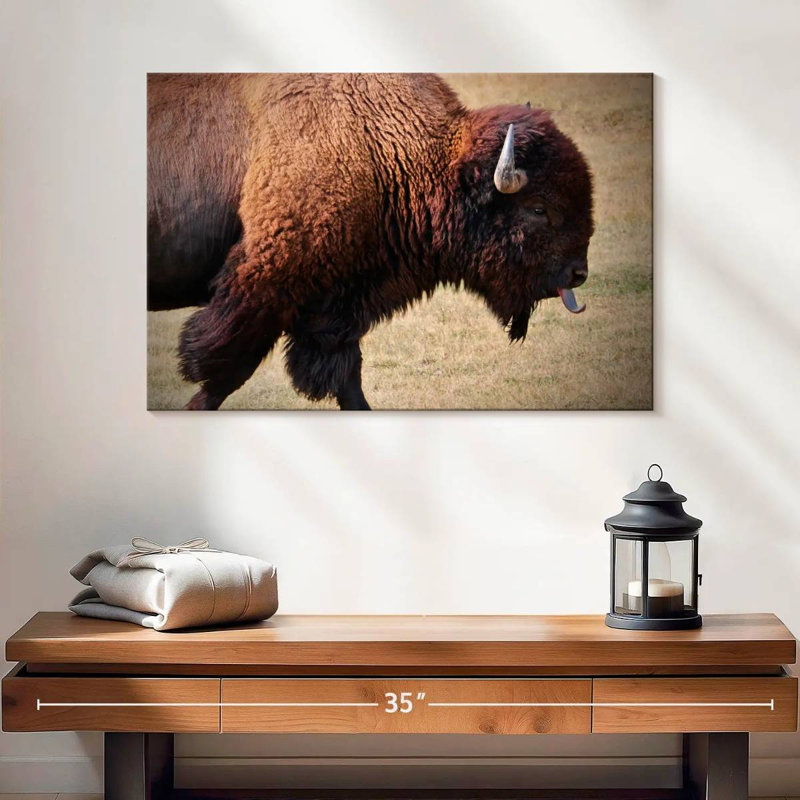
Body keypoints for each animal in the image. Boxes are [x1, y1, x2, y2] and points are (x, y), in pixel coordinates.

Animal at [147, 73, 594, 409]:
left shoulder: (332, 309)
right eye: (538, 208)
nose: (579, 273)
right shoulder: (265, 288)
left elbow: (346, 379)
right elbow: (225, 369)